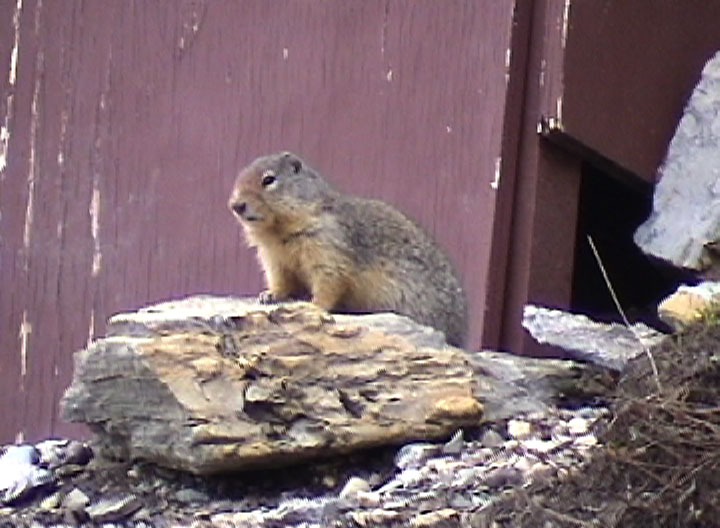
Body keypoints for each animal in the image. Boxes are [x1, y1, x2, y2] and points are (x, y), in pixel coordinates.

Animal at [228, 151, 470, 346]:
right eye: (239, 176)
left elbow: (329, 282)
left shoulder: (327, 248)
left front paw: (312, 305)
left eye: (269, 179)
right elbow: (281, 280)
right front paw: (269, 295)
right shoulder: (275, 260)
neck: (278, 231)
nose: (235, 205)